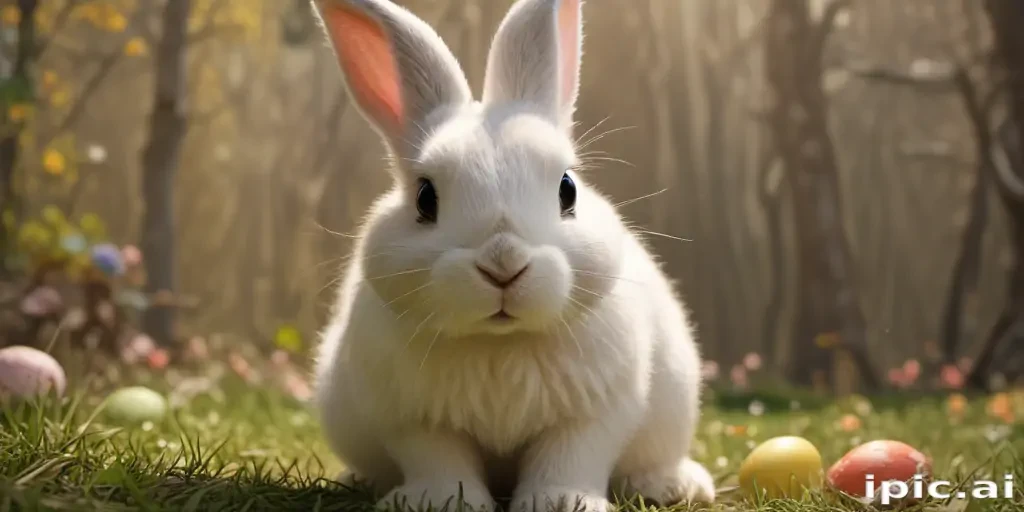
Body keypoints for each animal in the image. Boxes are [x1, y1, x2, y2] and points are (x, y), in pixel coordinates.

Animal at [309, 0, 716, 510]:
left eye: (567, 189)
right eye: (425, 198)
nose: (503, 263)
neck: (500, 344)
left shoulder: (592, 415)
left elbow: (569, 458)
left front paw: (561, 502)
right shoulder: (414, 420)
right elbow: (439, 460)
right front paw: (442, 502)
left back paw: (673, 485)